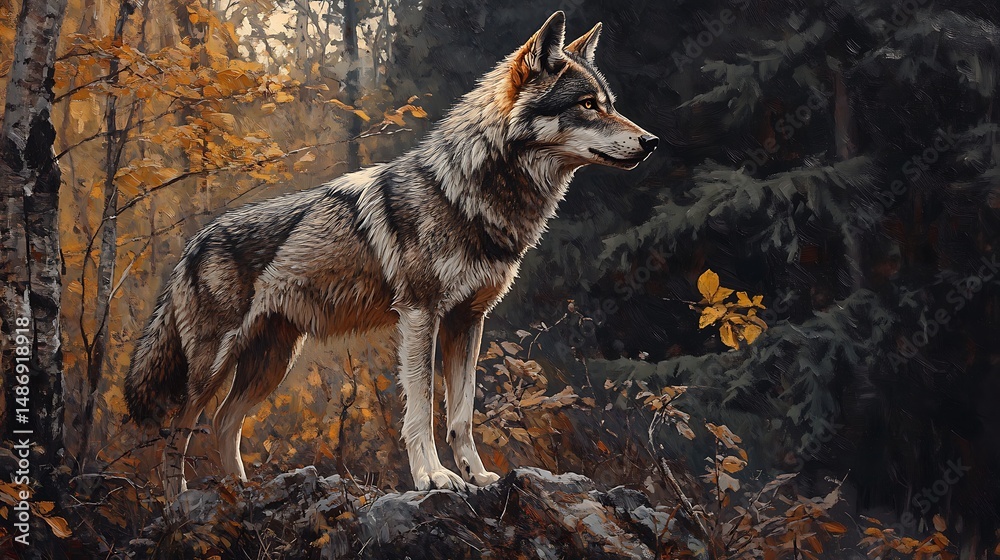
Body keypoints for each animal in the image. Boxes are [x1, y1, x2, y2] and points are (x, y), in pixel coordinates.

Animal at [125, 11, 657, 500]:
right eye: (588, 105)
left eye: (609, 104)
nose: (652, 142)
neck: (468, 195)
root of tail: (194, 242)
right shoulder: (421, 317)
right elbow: (421, 408)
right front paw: (434, 478)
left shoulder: (469, 321)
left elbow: (461, 414)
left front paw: (478, 477)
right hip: (213, 367)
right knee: (176, 431)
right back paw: (178, 505)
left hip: (271, 364)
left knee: (222, 422)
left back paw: (241, 491)